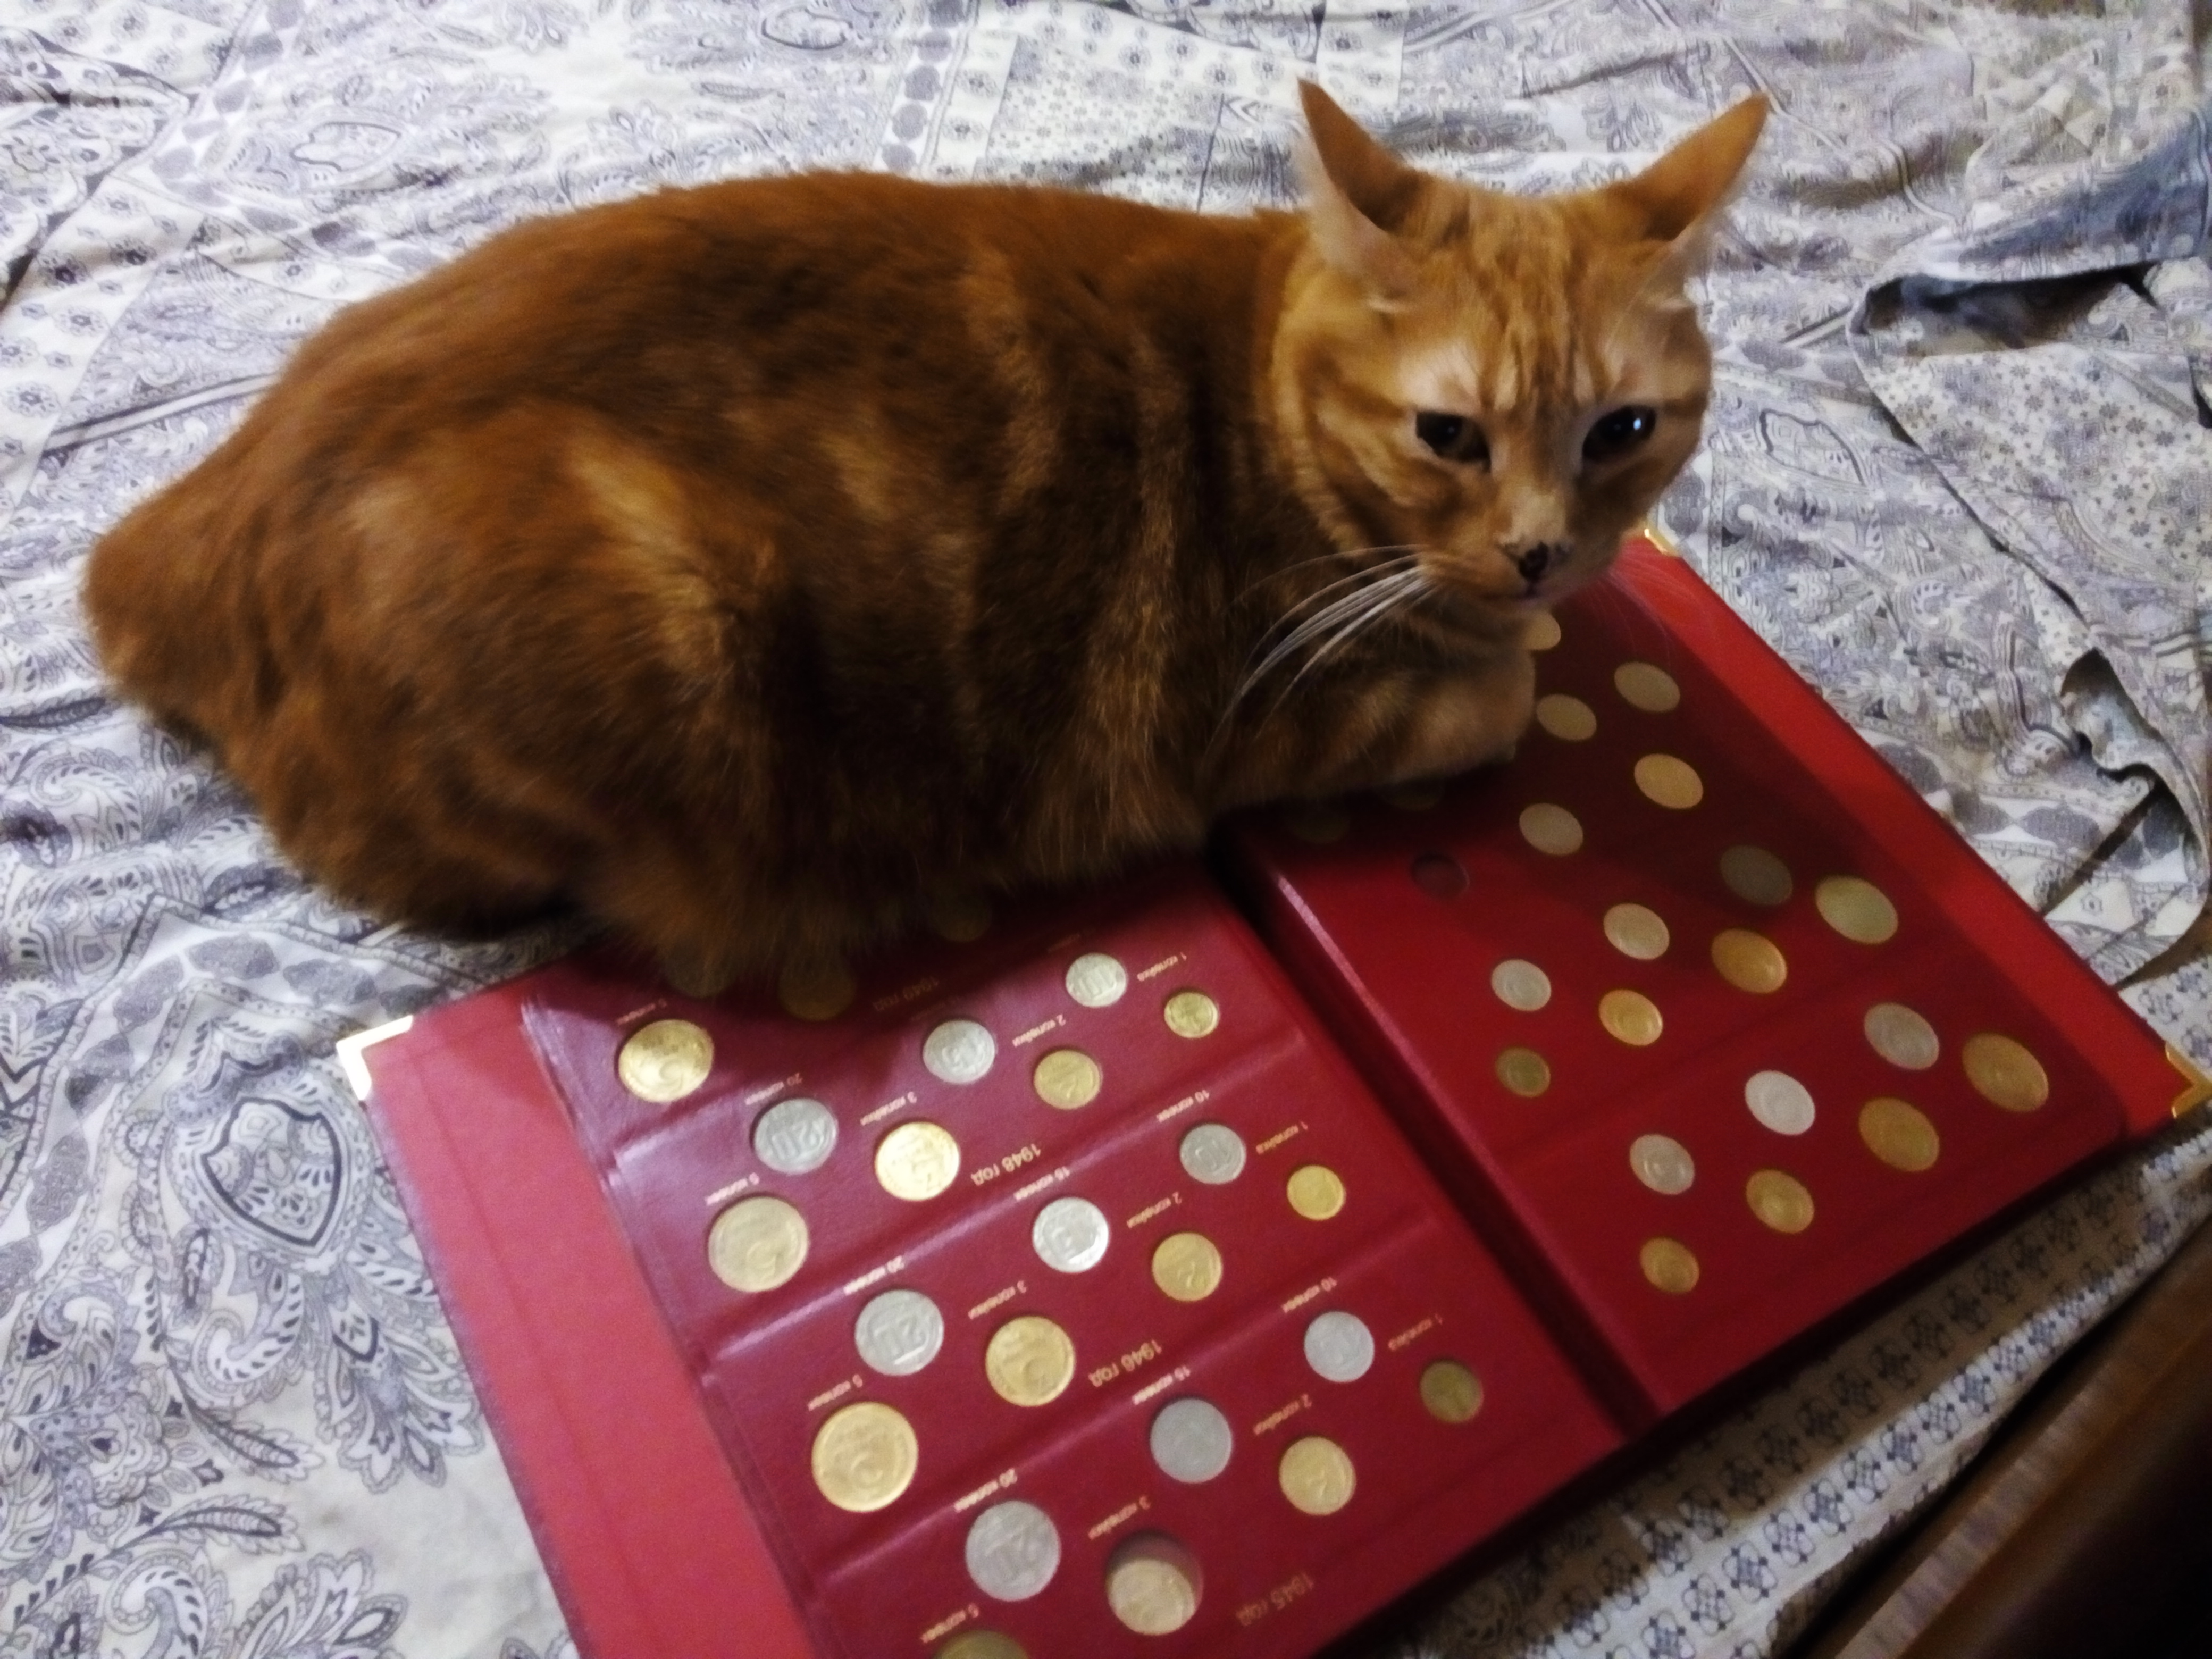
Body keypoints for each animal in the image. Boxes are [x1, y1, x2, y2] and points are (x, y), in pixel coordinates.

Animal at [84, 82, 1766, 997]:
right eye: (1450, 437)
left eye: (1623, 431)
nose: (1543, 551)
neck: (1271, 395)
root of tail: (183, 526)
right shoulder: (1283, 720)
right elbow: (1499, 694)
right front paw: (1522, 644)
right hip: (679, 628)